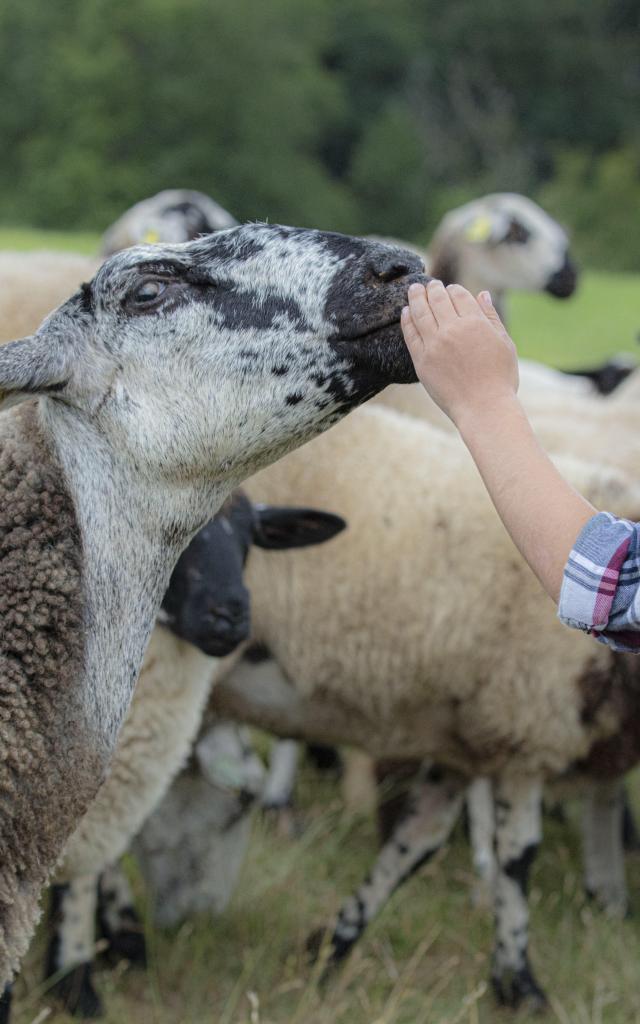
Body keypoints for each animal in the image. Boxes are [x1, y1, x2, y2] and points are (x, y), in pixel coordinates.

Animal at [198, 405, 638, 1007]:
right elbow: (518, 857)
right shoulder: (527, 730)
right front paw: (521, 985)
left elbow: (415, 843)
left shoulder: (467, 747)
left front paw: (328, 949)